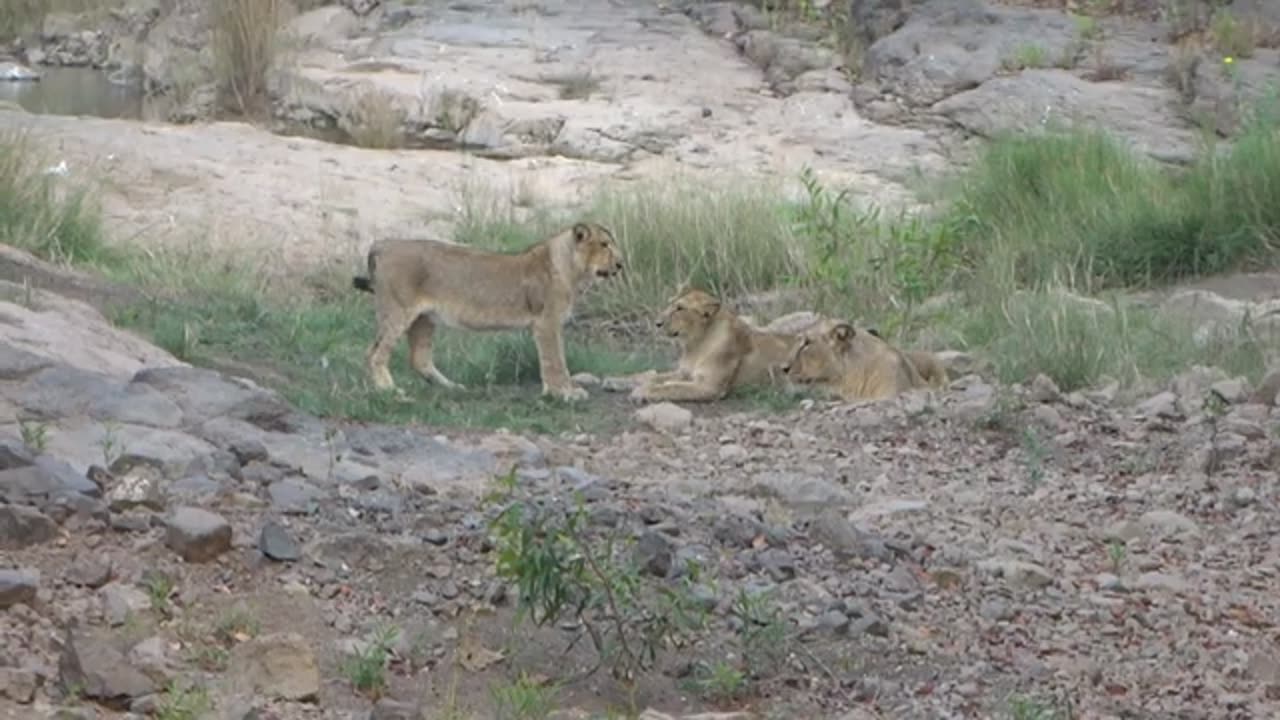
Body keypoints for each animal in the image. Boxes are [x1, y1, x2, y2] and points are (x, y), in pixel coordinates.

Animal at [353, 221, 622, 399]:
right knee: (373, 353)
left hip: (424, 318)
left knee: (419, 359)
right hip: (398, 311)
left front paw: (562, 390)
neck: (571, 269)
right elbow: (555, 360)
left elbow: (555, 360)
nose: (620, 264)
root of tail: (383, 244)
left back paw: (452, 387)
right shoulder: (547, 322)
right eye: (605, 244)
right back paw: (387, 389)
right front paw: (563, 393)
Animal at [629, 285, 798, 399]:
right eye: (670, 304)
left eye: (680, 308)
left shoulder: (709, 387)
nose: (657, 323)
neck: (694, 345)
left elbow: (672, 387)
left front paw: (643, 391)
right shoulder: (683, 373)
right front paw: (637, 380)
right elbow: (656, 377)